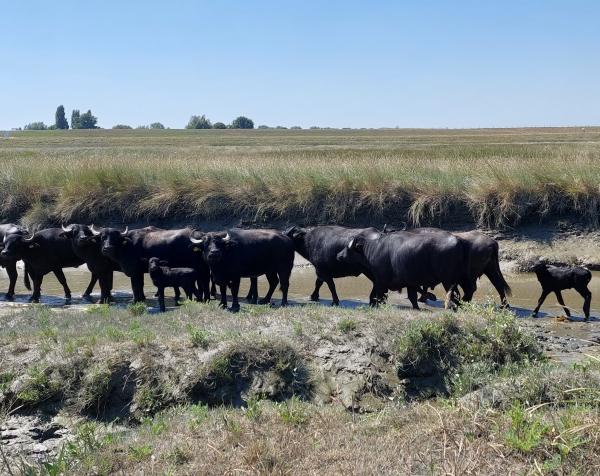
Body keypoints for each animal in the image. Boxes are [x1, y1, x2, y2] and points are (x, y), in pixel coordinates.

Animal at [336, 230, 466, 310]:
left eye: (348, 248)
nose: (338, 255)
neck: (374, 249)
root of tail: (457, 240)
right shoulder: (411, 284)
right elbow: (413, 299)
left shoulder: (380, 282)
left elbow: (380, 297)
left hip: (448, 281)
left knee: (453, 297)